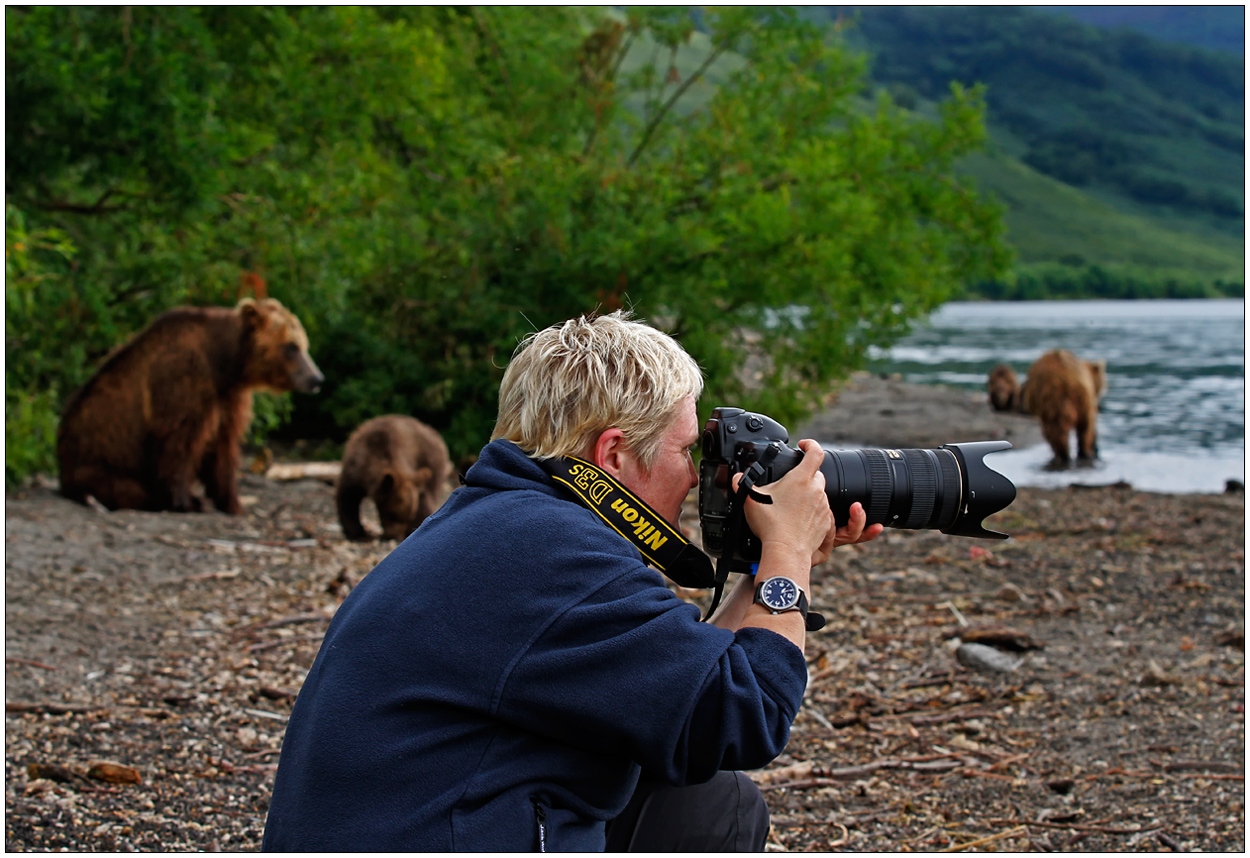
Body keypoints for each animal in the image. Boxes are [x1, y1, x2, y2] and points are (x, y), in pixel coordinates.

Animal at [58, 298, 322, 515]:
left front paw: (232, 503)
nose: (317, 379)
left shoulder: (229, 398)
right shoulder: (184, 382)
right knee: (125, 487)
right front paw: (188, 501)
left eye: (304, 344)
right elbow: (179, 443)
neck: (226, 364)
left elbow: (223, 447)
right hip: (99, 461)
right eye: (291, 346)